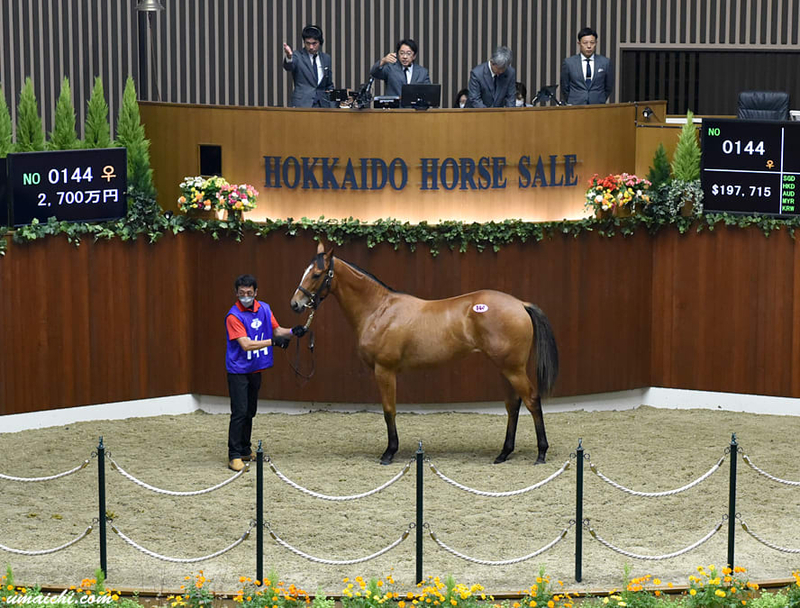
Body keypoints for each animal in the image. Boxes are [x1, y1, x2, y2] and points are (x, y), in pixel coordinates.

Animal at [289, 241, 559, 465]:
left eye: (316, 274)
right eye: (304, 271)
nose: (295, 304)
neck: (379, 310)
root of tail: (520, 304)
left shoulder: (384, 371)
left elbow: (389, 410)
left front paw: (389, 452)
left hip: (513, 369)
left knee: (532, 400)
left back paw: (541, 453)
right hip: (504, 368)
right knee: (513, 405)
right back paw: (504, 453)